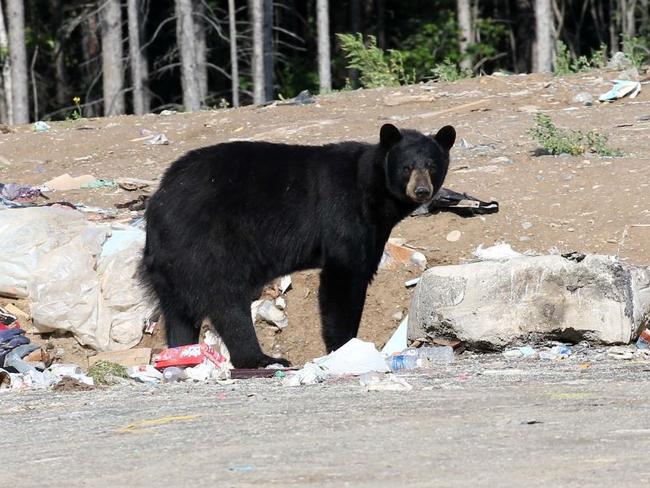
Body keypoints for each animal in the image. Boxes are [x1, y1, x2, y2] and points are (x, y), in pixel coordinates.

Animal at [140, 124, 456, 368]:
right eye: (407, 167)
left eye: (432, 166)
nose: (422, 190)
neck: (373, 192)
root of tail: (158, 200)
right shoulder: (344, 213)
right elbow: (343, 279)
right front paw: (343, 346)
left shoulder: (374, 230)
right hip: (208, 243)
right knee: (227, 300)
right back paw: (260, 358)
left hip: (171, 261)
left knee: (178, 312)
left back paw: (183, 353)